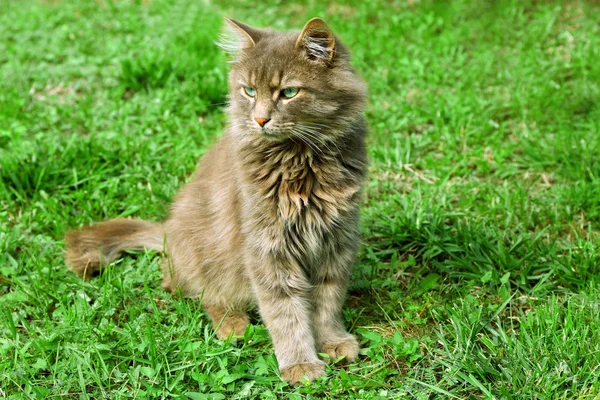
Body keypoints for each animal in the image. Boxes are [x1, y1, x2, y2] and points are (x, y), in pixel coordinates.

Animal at [64, 16, 366, 384]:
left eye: (288, 92)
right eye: (249, 91)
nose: (260, 119)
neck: (300, 162)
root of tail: (167, 231)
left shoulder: (336, 239)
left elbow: (327, 300)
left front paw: (333, 341)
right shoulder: (267, 248)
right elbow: (285, 311)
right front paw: (300, 364)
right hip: (206, 258)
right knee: (190, 289)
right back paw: (234, 325)